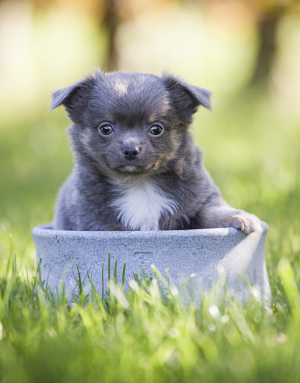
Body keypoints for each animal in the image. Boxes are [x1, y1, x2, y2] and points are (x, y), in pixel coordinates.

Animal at [49, 68, 260, 234]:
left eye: (156, 129)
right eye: (105, 129)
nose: (130, 150)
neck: (140, 183)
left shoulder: (200, 199)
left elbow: (209, 212)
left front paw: (240, 217)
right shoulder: (98, 223)